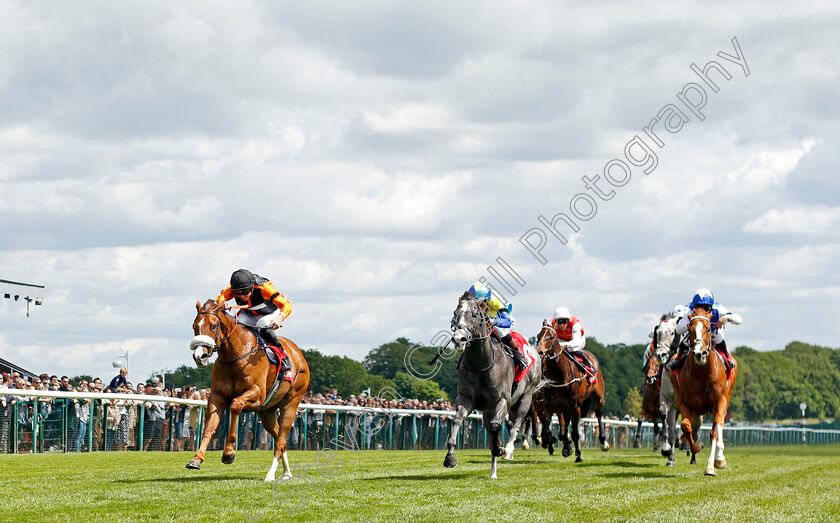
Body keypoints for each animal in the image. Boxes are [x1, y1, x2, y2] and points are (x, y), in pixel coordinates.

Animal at [187, 298, 312, 484]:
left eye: (214, 326)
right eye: (195, 326)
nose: (199, 356)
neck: (235, 355)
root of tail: (299, 353)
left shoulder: (257, 396)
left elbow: (235, 405)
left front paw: (229, 453)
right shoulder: (217, 397)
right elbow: (209, 427)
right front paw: (196, 459)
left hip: (291, 403)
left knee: (281, 441)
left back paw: (270, 475)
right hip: (267, 412)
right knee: (279, 438)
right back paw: (286, 473)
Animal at [446, 292, 544, 482]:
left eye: (474, 314)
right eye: (455, 313)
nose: (459, 339)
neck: (481, 364)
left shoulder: (502, 400)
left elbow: (496, 428)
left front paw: (501, 449)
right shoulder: (465, 399)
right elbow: (457, 420)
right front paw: (450, 457)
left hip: (526, 396)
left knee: (516, 423)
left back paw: (507, 453)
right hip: (487, 409)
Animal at [536, 322, 608, 464]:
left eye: (551, 337)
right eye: (538, 335)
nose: (540, 352)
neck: (560, 375)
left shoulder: (575, 407)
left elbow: (575, 433)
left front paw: (578, 455)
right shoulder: (548, 405)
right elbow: (546, 430)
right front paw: (557, 443)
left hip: (598, 396)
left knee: (598, 413)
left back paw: (603, 442)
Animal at [668, 314, 736, 476]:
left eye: (708, 328)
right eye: (690, 329)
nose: (700, 353)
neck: (704, 377)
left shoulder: (720, 401)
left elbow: (716, 428)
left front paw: (715, 462)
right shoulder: (688, 406)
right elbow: (686, 426)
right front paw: (696, 447)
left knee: (716, 428)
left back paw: (717, 460)